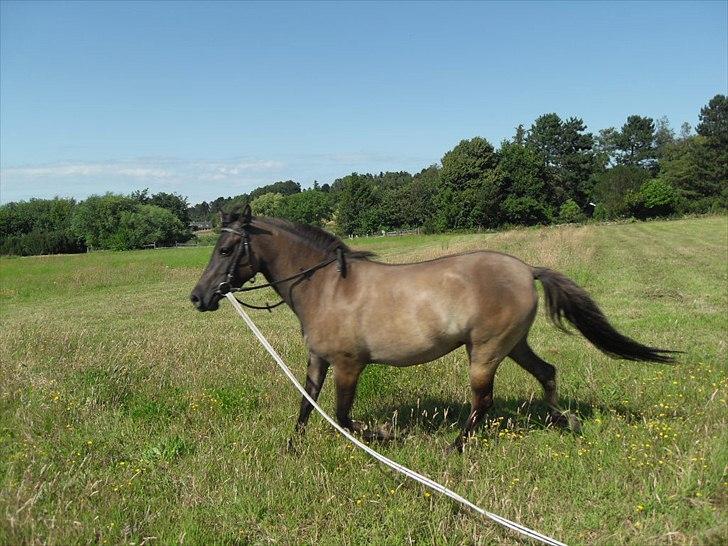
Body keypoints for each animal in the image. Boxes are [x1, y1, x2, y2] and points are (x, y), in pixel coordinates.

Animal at [191, 202, 672, 448]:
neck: (327, 287)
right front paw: (292, 447)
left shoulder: (349, 364)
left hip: (486, 352)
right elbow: (307, 406)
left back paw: (456, 445)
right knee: (547, 373)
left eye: (227, 248)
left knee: (483, 400)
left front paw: (384, 434)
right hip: (514, 345)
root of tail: (527, 269)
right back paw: (564, 421)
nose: (199, 297)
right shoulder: (317, 359)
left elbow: (343, 417)